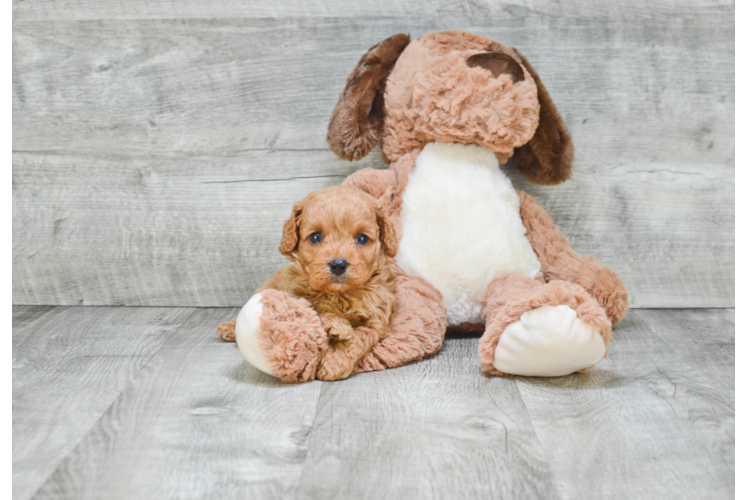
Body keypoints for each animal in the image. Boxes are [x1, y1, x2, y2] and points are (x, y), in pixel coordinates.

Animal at [218, 186, 398, 380]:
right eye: (315, 237)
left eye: (362, 239)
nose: (338, 264)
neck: (339, 294)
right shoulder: (295, 294)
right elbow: (317, 306)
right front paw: (337, 324)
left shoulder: (377, 319)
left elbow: (360, 337)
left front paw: (334, 365)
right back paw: (228, 327)